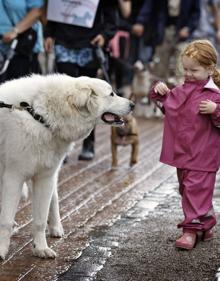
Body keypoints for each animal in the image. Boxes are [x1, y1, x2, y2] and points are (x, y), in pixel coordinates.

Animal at [0, 72, 134, 258]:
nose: (133, 105)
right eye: (111, 94)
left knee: (54, 199)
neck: (39, 115)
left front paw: (40, 249)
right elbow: (5, 220)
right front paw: (1, 250)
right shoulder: (13, 177)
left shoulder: (45, 177)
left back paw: (56, 228)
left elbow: (40, 220)